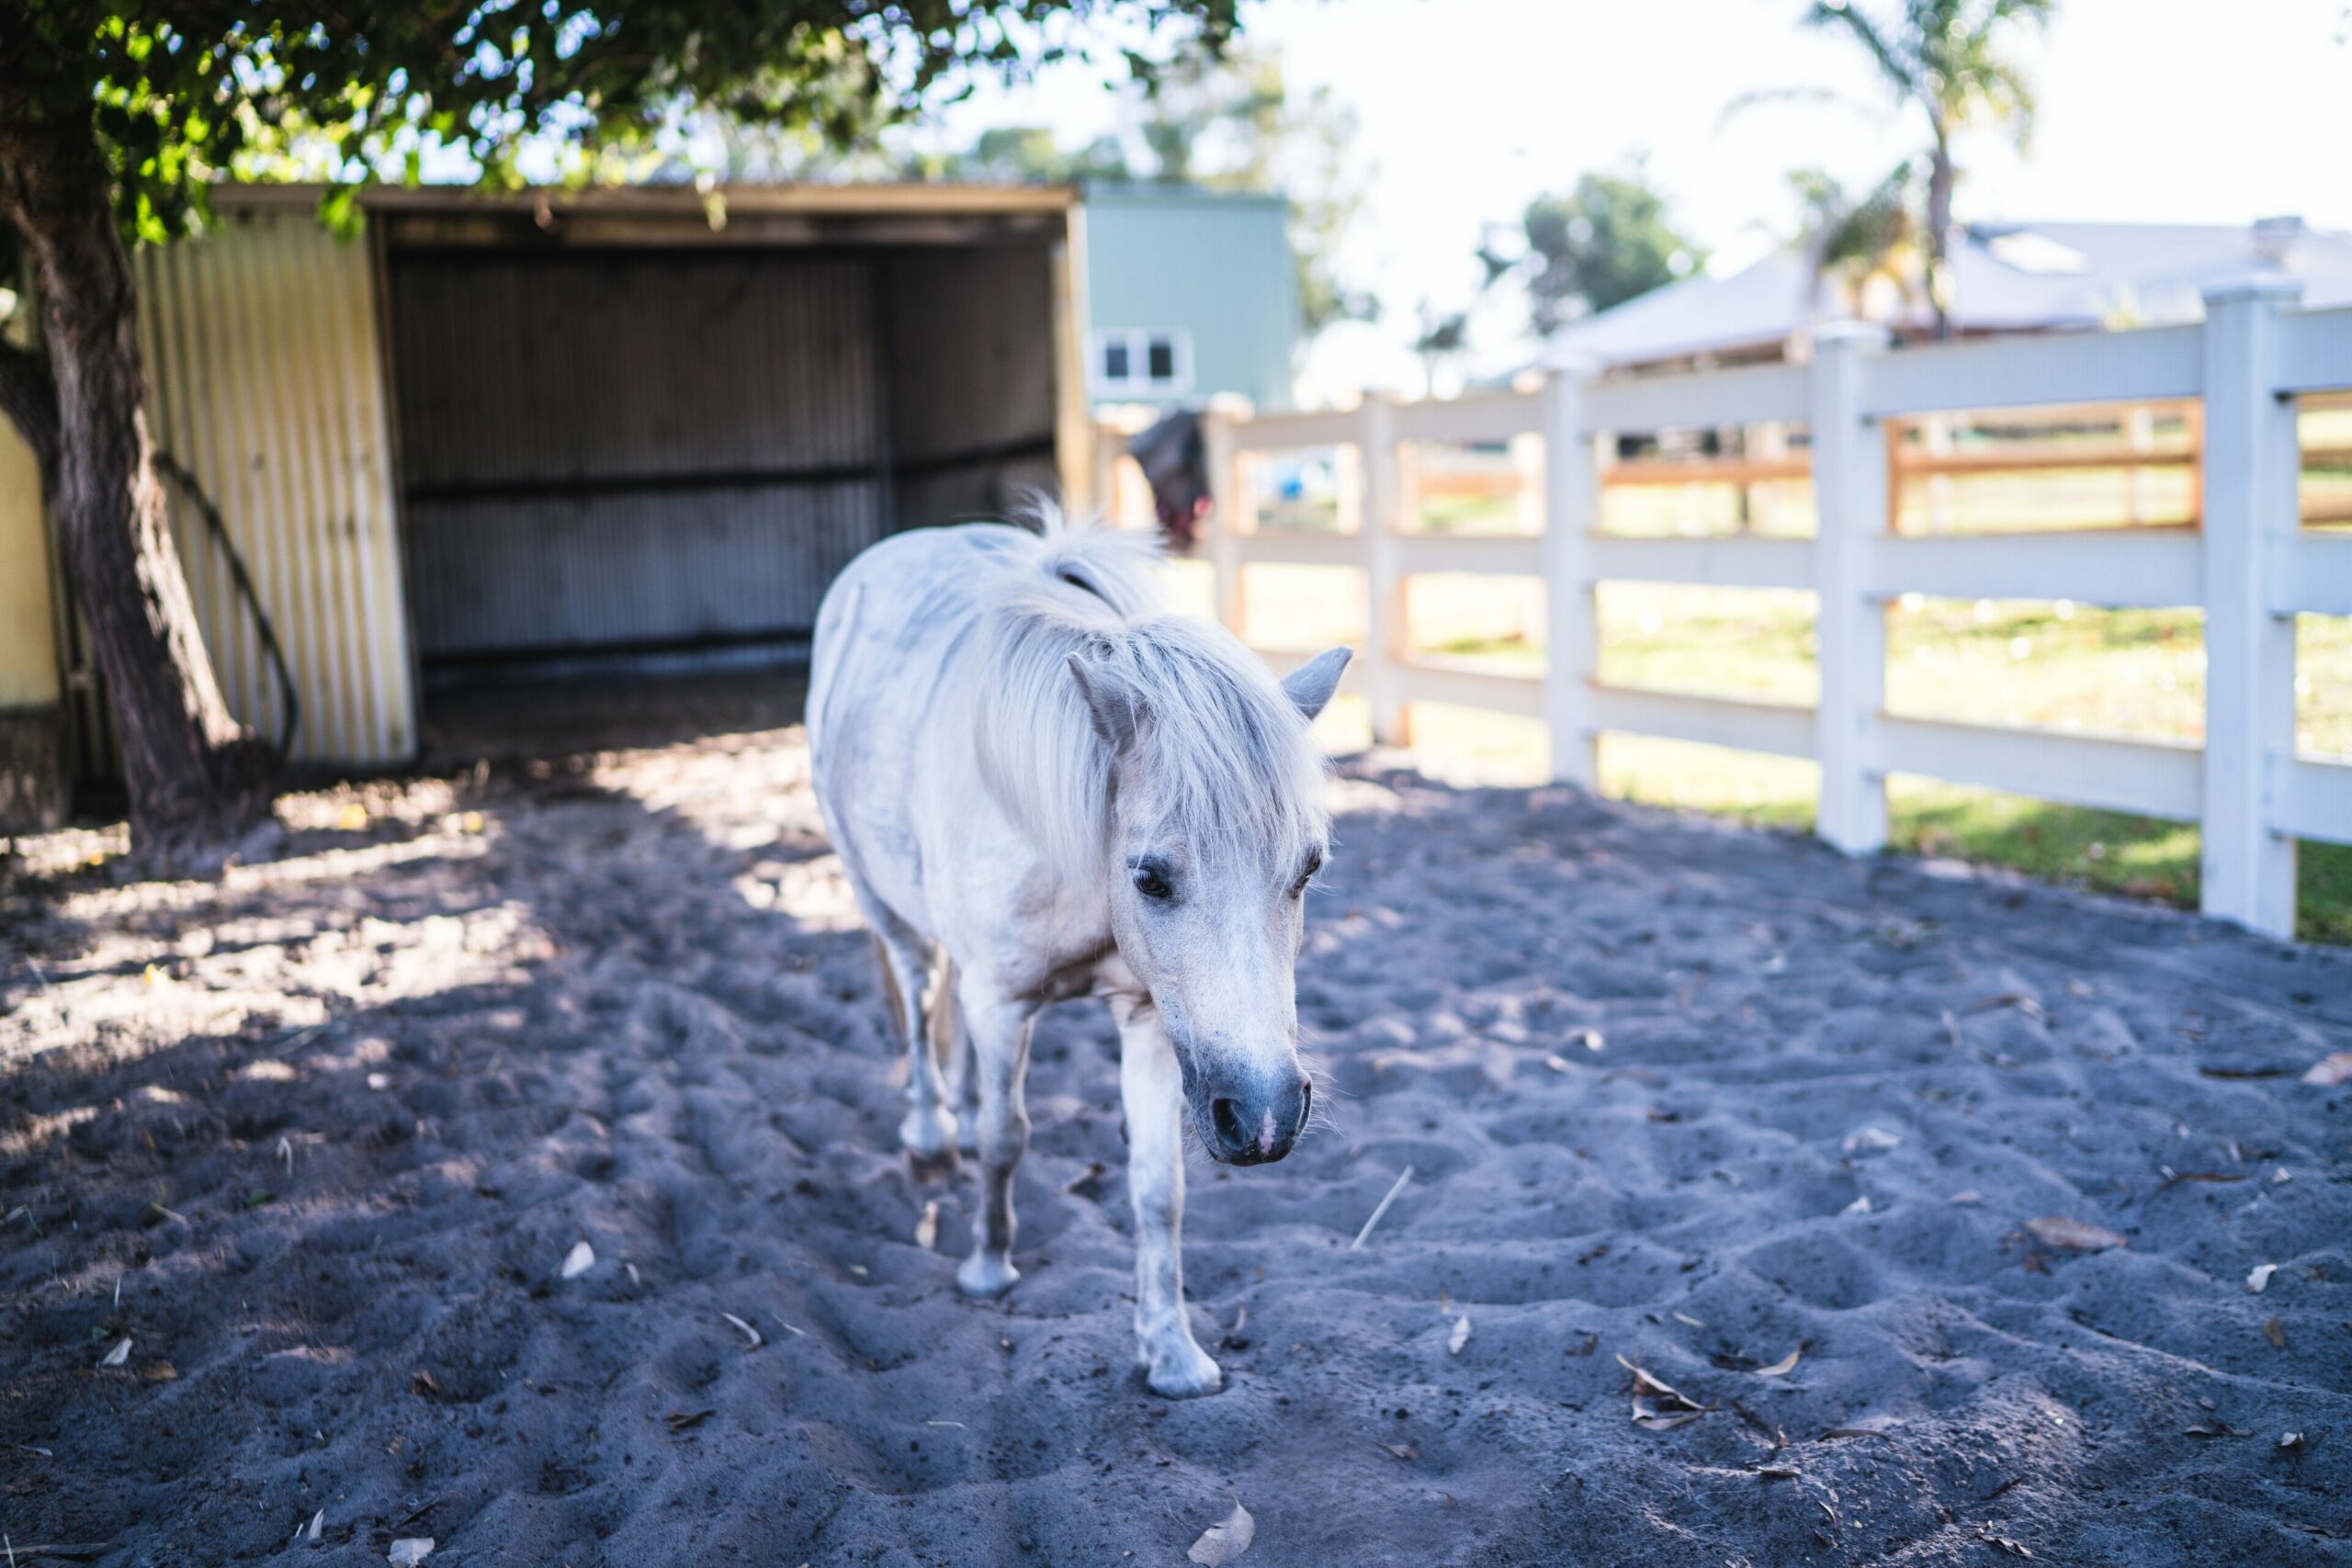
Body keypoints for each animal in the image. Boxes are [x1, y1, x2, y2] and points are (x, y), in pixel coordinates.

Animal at [808, 505, 1354, 1401]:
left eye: (1307, 868)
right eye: (1152, 876)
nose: (1267, 1116)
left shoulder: (1154, 1023)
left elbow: (1159, 1188)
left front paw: (1173, 1353)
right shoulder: (1003, 1003)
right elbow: (1008, 1137)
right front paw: (987, 1266)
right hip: (878, 899)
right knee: (919, 1004)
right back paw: (931, 1132)